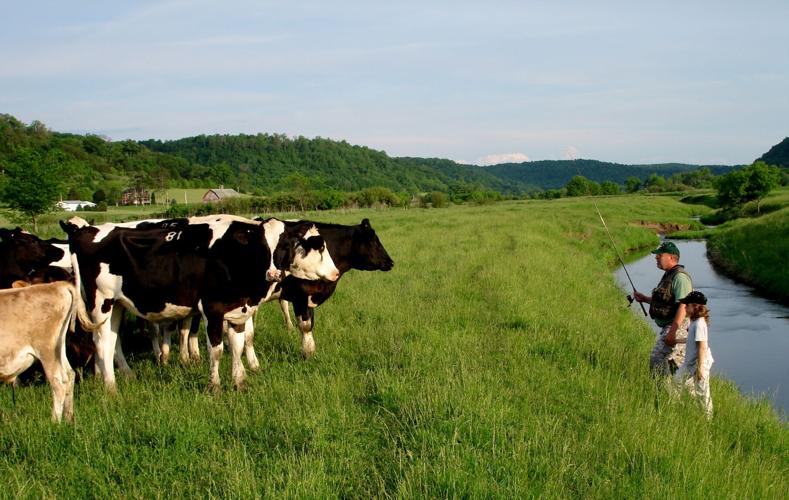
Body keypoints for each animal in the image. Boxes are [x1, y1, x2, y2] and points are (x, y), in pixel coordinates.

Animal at [0, 281, 102, 422]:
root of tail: (56, 285)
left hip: (47, 351)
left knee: (58, 382)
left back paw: (54, 421)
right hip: (59, 347)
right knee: (70, 375)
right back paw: (68, 419)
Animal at [61, 215, 339, 392]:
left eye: (286, 244)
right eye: (260, 246)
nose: (273, 273)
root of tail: (85, 232)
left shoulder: (239, 309)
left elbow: (238, 345)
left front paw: (240, 382)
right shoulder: (212, 309)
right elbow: (216, 350)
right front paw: (214, 386)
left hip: (117, 304)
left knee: (111, 341)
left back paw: (123, 377)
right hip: (101, 302)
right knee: (101, 343)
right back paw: (111, 389)